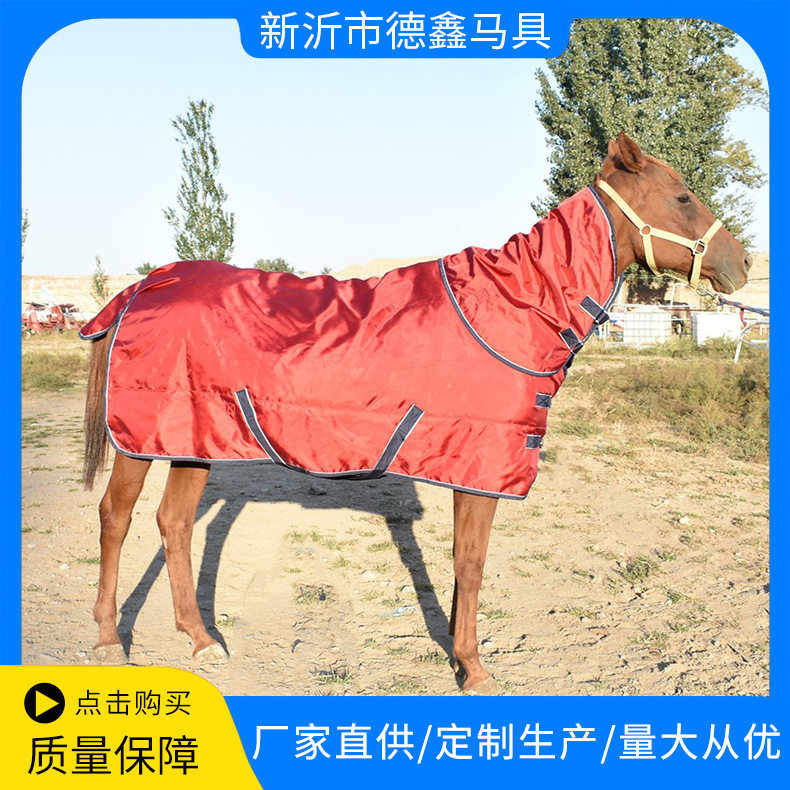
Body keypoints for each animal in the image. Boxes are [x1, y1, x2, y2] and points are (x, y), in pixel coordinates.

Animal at [81, 133, 750, 694]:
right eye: (683, 197)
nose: (743, 264)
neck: (509, 306)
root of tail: (145, 286)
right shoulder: (479, 466)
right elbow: (471, 564)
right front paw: (473, 669)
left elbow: (460, 563)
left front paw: (458, 652)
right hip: (141, 438)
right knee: (116, 518)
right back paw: (110, 640)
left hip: (191, 437)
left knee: (173, 523)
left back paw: (201, 640)